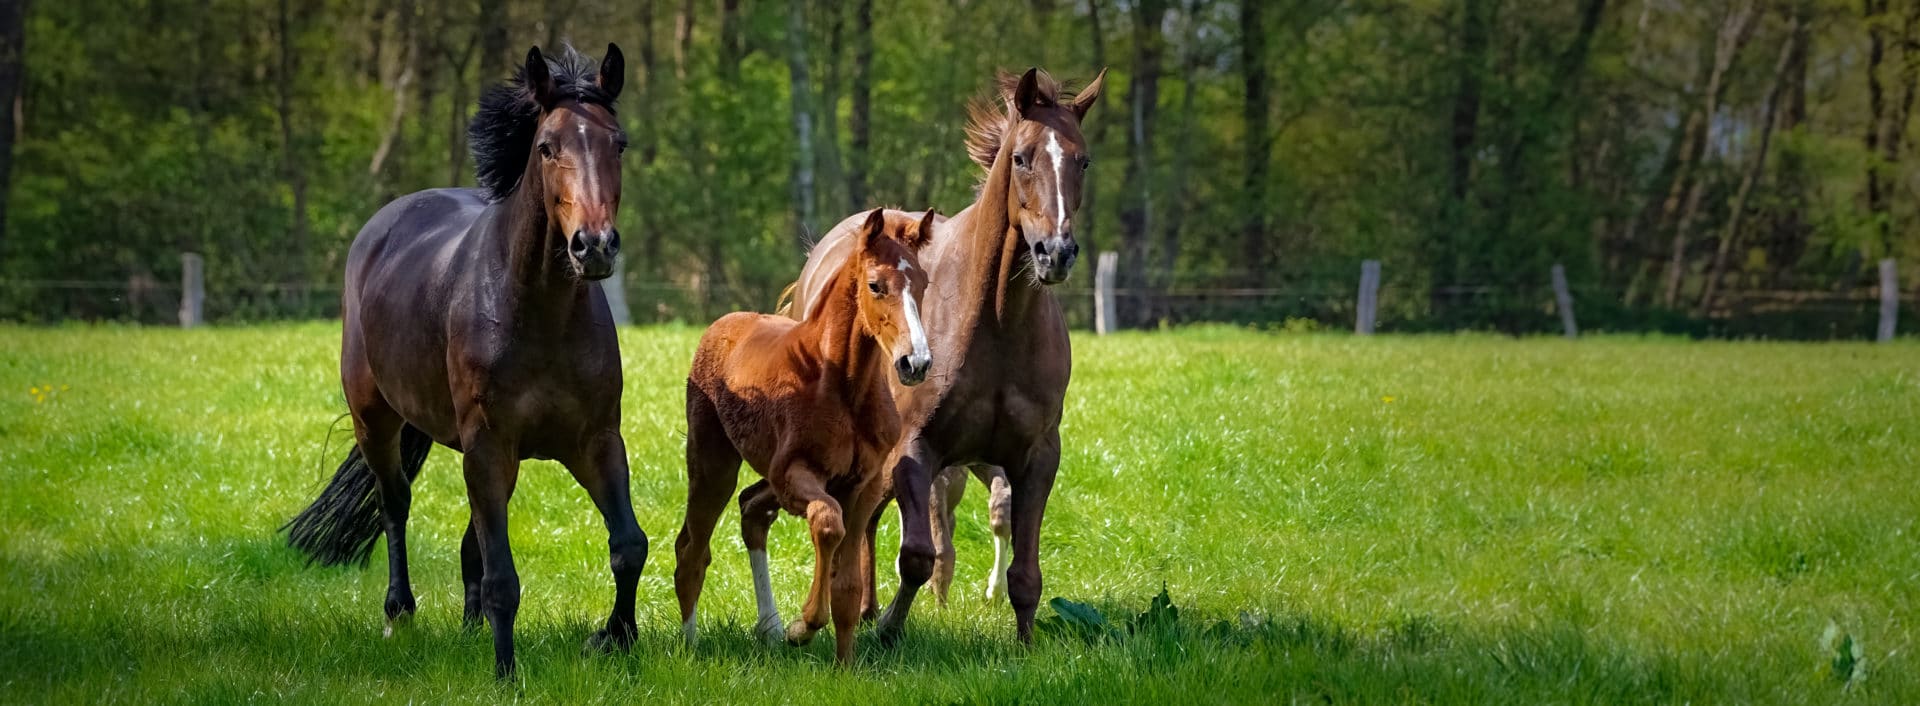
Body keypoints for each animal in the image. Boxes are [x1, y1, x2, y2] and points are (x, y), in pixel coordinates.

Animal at [282, 45, 645, 679]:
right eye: (547, 146)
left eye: (617, 143)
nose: (594, 246)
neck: (538, 313)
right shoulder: (488, 444)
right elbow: (504, 577)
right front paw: (506, 671)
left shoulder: (595, 441)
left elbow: (628, 545)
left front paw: (615, 639)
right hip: (377, 420)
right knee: (394, 503)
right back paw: (399, 612)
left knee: (470, 537)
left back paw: (470, 626)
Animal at [675, 208, 936, 659]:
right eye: (875, 285)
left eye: (922, 283)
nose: (915, 362)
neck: (842, 384)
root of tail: (723, 324)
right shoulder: (793, 474)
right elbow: (827, 522)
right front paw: (804, 625)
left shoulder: (863, 485)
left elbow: (848, 585)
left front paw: (844, 664)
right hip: (712, 465)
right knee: (693, 550)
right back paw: (691, 647)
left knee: (749, 512)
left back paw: (768, 628)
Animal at [775, 69, 1113, 640]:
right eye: (1021, 157)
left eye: (1083, 160)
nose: (1056, 253)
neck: (996, 324)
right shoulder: (916, 451)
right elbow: (917, 555)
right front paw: (889, 632)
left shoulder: (1036, 457)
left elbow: (1026, 572)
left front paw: (1025, 644)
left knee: (867, 520)